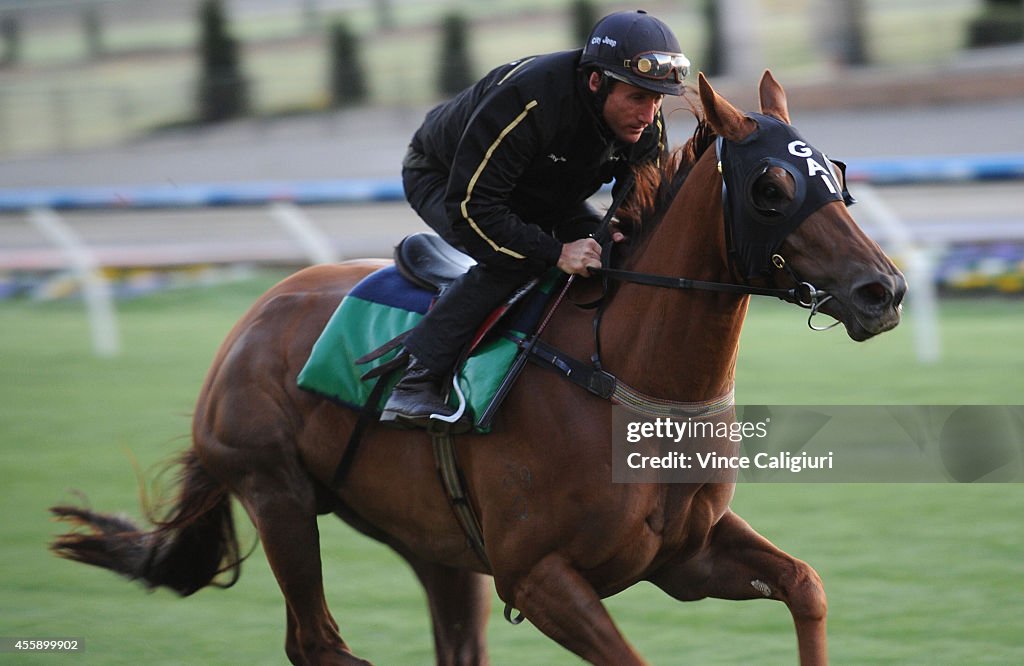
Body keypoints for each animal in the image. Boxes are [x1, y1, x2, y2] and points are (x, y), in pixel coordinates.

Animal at [54, 73, 905, 663]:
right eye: (771, 186)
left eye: (835, 173)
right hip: (278, 495)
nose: (884, 290)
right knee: (318, 642)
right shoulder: (538, 576)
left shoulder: (683, 557)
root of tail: (246, 326)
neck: (624, 377)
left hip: (432, 545)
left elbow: (805, 586)